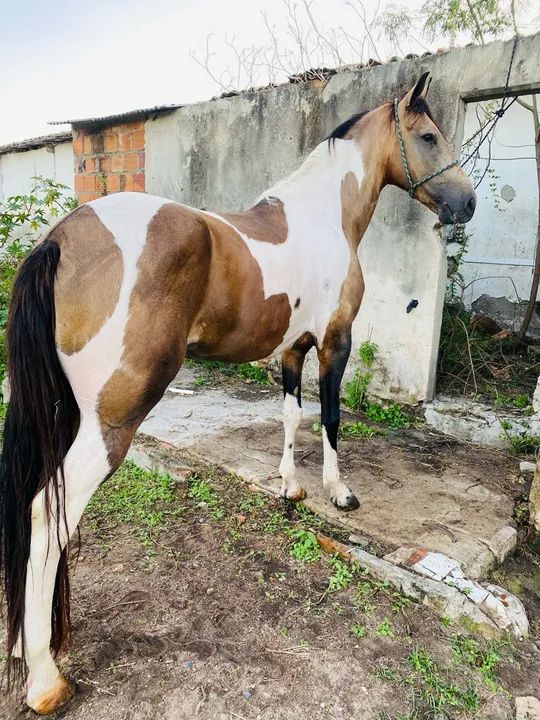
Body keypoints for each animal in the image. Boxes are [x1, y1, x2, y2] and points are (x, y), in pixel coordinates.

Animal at [0, 72, 475, 714]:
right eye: (428, 136)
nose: (467, 203)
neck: (323, 217)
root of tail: (61, 239)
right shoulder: (335, 343)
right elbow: (330, 418)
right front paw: (339, 492)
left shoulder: (293, 349)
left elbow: (291, 416)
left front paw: (291, 486)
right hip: (107, 424)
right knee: (48, 514)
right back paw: (45, 678)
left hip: (62, 414)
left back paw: (23, 647)